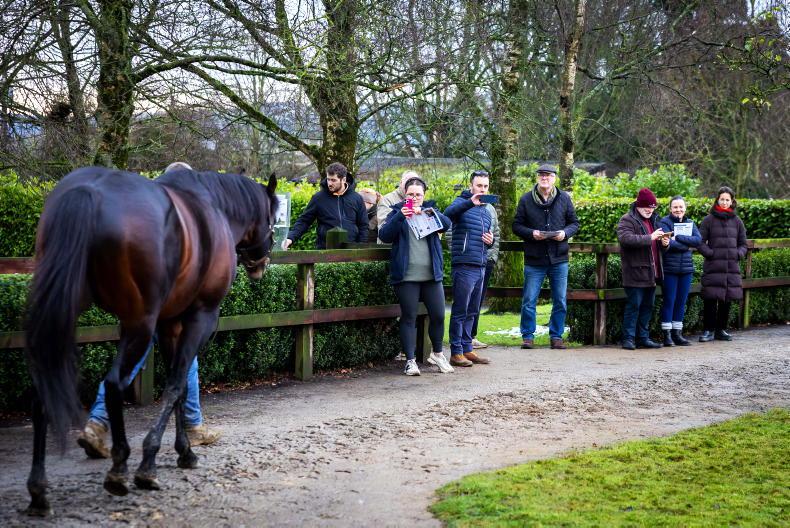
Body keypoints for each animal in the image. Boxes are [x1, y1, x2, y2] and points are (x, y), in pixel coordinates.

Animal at [23, 166, 278, 516]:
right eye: (273, 216)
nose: (261, 264)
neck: (215, 208)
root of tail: (89, 191)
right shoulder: (200, 317)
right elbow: (175, 385)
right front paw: (150, 462)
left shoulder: (170, 324)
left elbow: (179, 387)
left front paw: (185, 451)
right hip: (139, 324)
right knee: (114, 384)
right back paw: (120, 467)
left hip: (68, 309)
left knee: (42, 393)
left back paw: (39, 489)